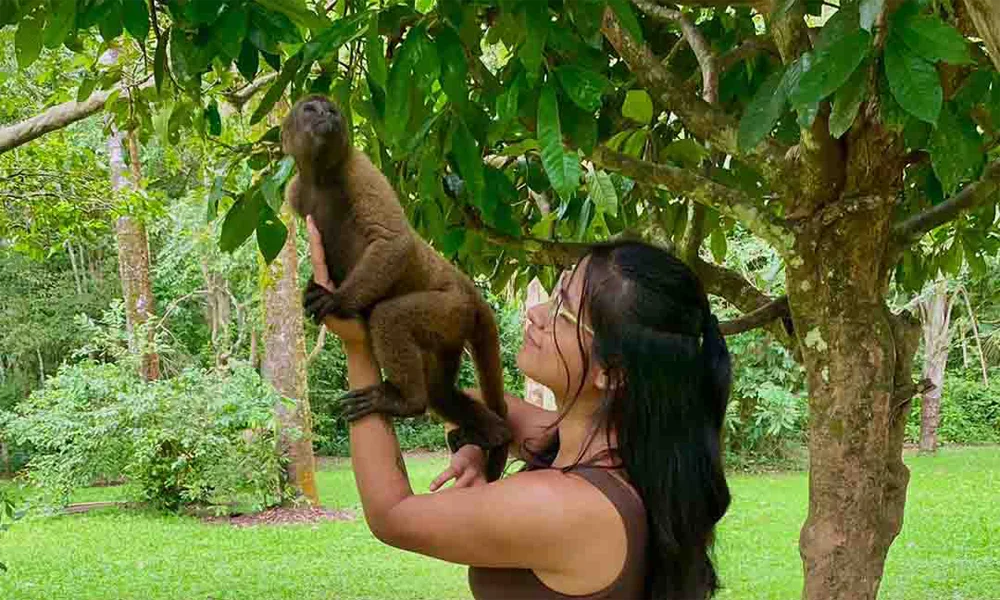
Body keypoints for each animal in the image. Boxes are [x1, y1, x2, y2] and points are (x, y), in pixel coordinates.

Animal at [281, 94, 511, 481]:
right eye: (310, 110)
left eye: (332, 109)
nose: (327, 114)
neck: (320, 177)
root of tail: (468, 287)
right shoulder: (294, 192)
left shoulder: (359, 167)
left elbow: (394, 242)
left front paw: (336, 300)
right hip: (452, 331)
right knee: (440, 393)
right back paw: (496, 433)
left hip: (451, 309)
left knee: (390, 317)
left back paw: (406, 401)